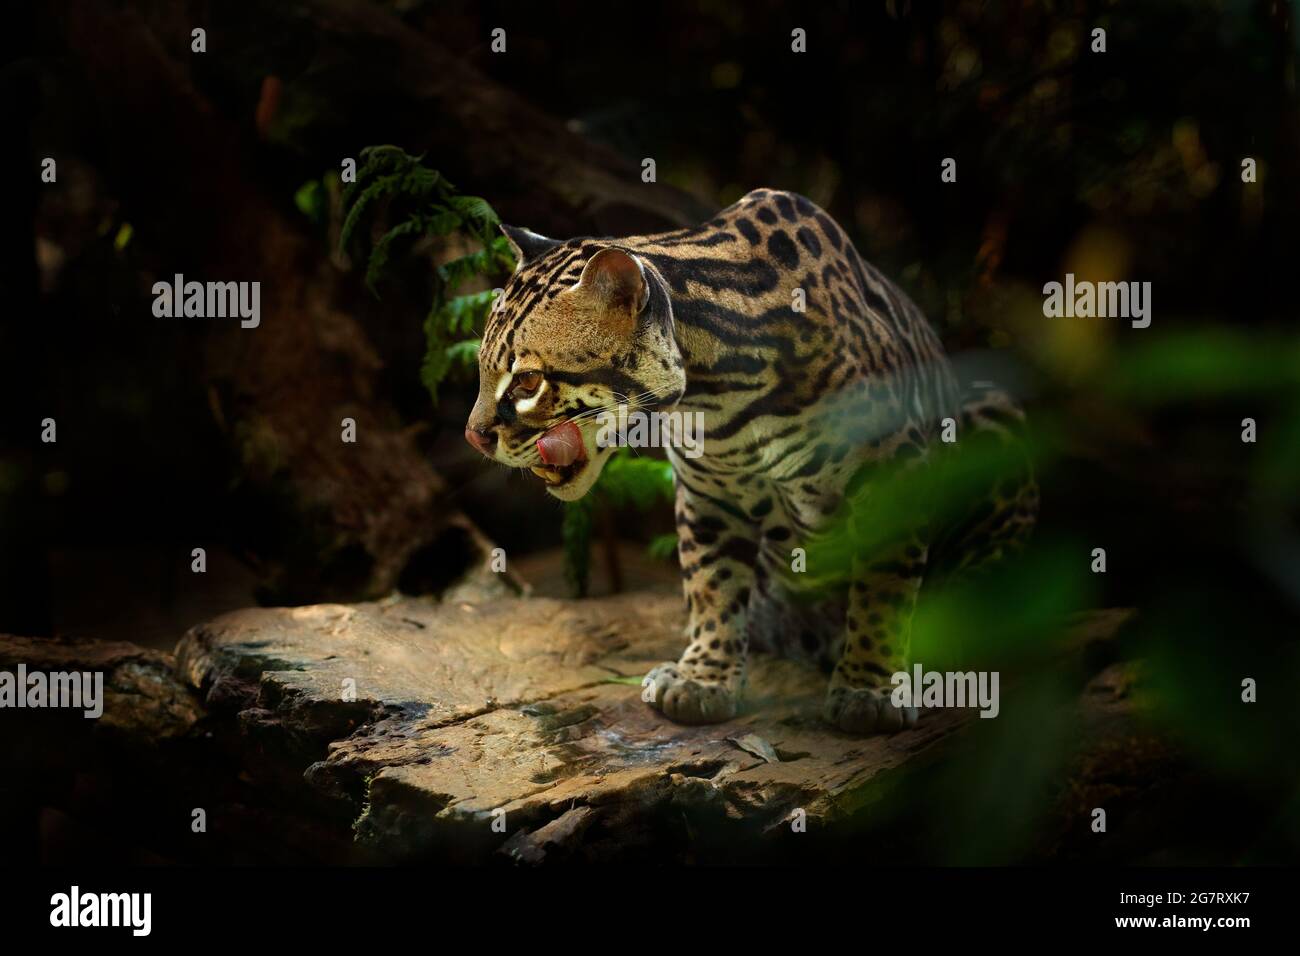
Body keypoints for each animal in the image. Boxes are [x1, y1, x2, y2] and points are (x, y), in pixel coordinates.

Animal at [467, 191, 1034, 738]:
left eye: (527, 381)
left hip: (993, 416)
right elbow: (711, 585)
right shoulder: (707, 494)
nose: (474, 437)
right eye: (481, 369)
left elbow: (883, 589)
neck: (718, 394)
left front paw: (870, 688)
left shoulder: (894, 471)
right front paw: (703, 677)